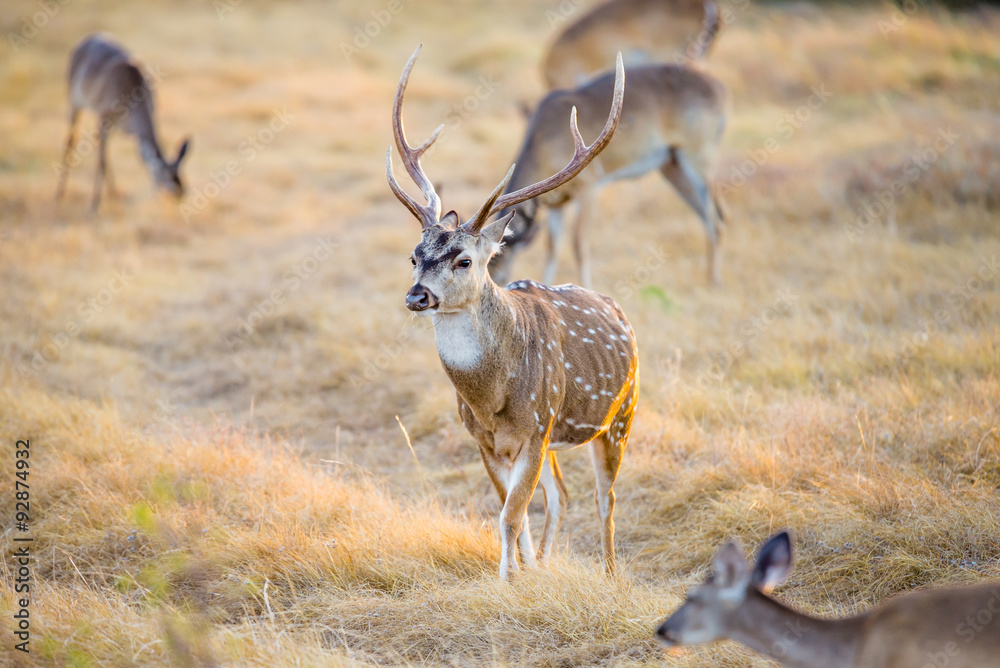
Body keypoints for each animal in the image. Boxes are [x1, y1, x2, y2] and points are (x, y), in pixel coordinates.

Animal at [56, 34, 191, 212]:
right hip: (73, 101)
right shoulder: (104, 118)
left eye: (180, 173)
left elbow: (135, 155)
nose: (181, 192)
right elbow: (101, 160)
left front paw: (112, 197)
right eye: (163, 175)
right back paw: (59, 194)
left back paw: (113, 194)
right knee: (71, 140)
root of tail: (84, 41)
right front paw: (93, 205)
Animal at [387, 46, 638, 581]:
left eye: (464, 260)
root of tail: (617, 308)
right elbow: (511, 512)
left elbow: (510, 514)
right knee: (562, 495)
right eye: (414, 255)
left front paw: (508, 581)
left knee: (605, 499)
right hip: (561, 435)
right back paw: (545, 560)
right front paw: (524, 574)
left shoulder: (536, 425)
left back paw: (610, 573)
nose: (417, 297)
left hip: (622, 413)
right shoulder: (485, 439)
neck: (492, 397)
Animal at [488, 62, 728, 288]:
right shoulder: (557, 203)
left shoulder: (589, 184)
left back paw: (714, 282)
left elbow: (579, 245)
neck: (543, 146)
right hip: (672, 165)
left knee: (715, 219)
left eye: (500, 274)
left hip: (699, 154)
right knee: (708, 217)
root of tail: (721, 89)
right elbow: (552, 248)